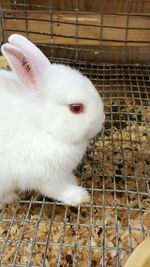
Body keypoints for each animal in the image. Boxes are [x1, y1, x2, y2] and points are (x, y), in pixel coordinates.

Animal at [0, 34, 104, 206]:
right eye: (76, 108)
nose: (101, 123)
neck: (42, 126)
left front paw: (73, 179)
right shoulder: (43, 176)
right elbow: (57, 190)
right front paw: (80, 196)